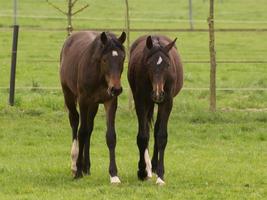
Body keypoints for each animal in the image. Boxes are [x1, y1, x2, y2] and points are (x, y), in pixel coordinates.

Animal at [60, 30, 126, 183]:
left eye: (122, 59)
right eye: (105, 60)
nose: (116, 89)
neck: (100, 75)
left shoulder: (110, 101)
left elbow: (110, 136)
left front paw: (114, 175)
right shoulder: (83, 101)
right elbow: (82, 132)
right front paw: (78, 171)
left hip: (93, 105)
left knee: (89, 129)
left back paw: (86, 167)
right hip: (69, 95)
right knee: (75, 122)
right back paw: (74, 165)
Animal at [128, 35, 183, 185]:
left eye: (167, 65)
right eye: (149, 64)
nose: (158, 94)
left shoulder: (167, 102)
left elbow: (161, 136)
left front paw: (160, 175)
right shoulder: (141, 102)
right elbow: (142, 136)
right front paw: (142, 171)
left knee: (157, 129)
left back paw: (154, 165)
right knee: (147, 129)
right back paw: (148, 167)